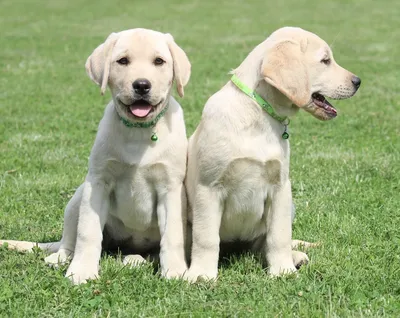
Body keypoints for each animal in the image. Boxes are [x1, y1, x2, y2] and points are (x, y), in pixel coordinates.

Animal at [0, 28, 191, 284]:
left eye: (159, 61)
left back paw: (134, 259)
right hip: (78, 197)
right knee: (69, 240)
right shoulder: (98, 182)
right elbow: (88, 232)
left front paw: (176, 272)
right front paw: (82, 271)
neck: (138, 132)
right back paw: (60, 257)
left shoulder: (170, 188)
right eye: (123, 61)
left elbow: (172, 235)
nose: (142, 85)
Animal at [184, 26, 360, 280]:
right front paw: (201, 275)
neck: (259, 113)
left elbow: (279, 236)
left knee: (266, 242)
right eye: (325, 60)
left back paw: (296, 255)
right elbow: (206, 238)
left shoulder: (281, 188)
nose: (358, 81)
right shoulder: (208, 188)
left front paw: (283, 270)